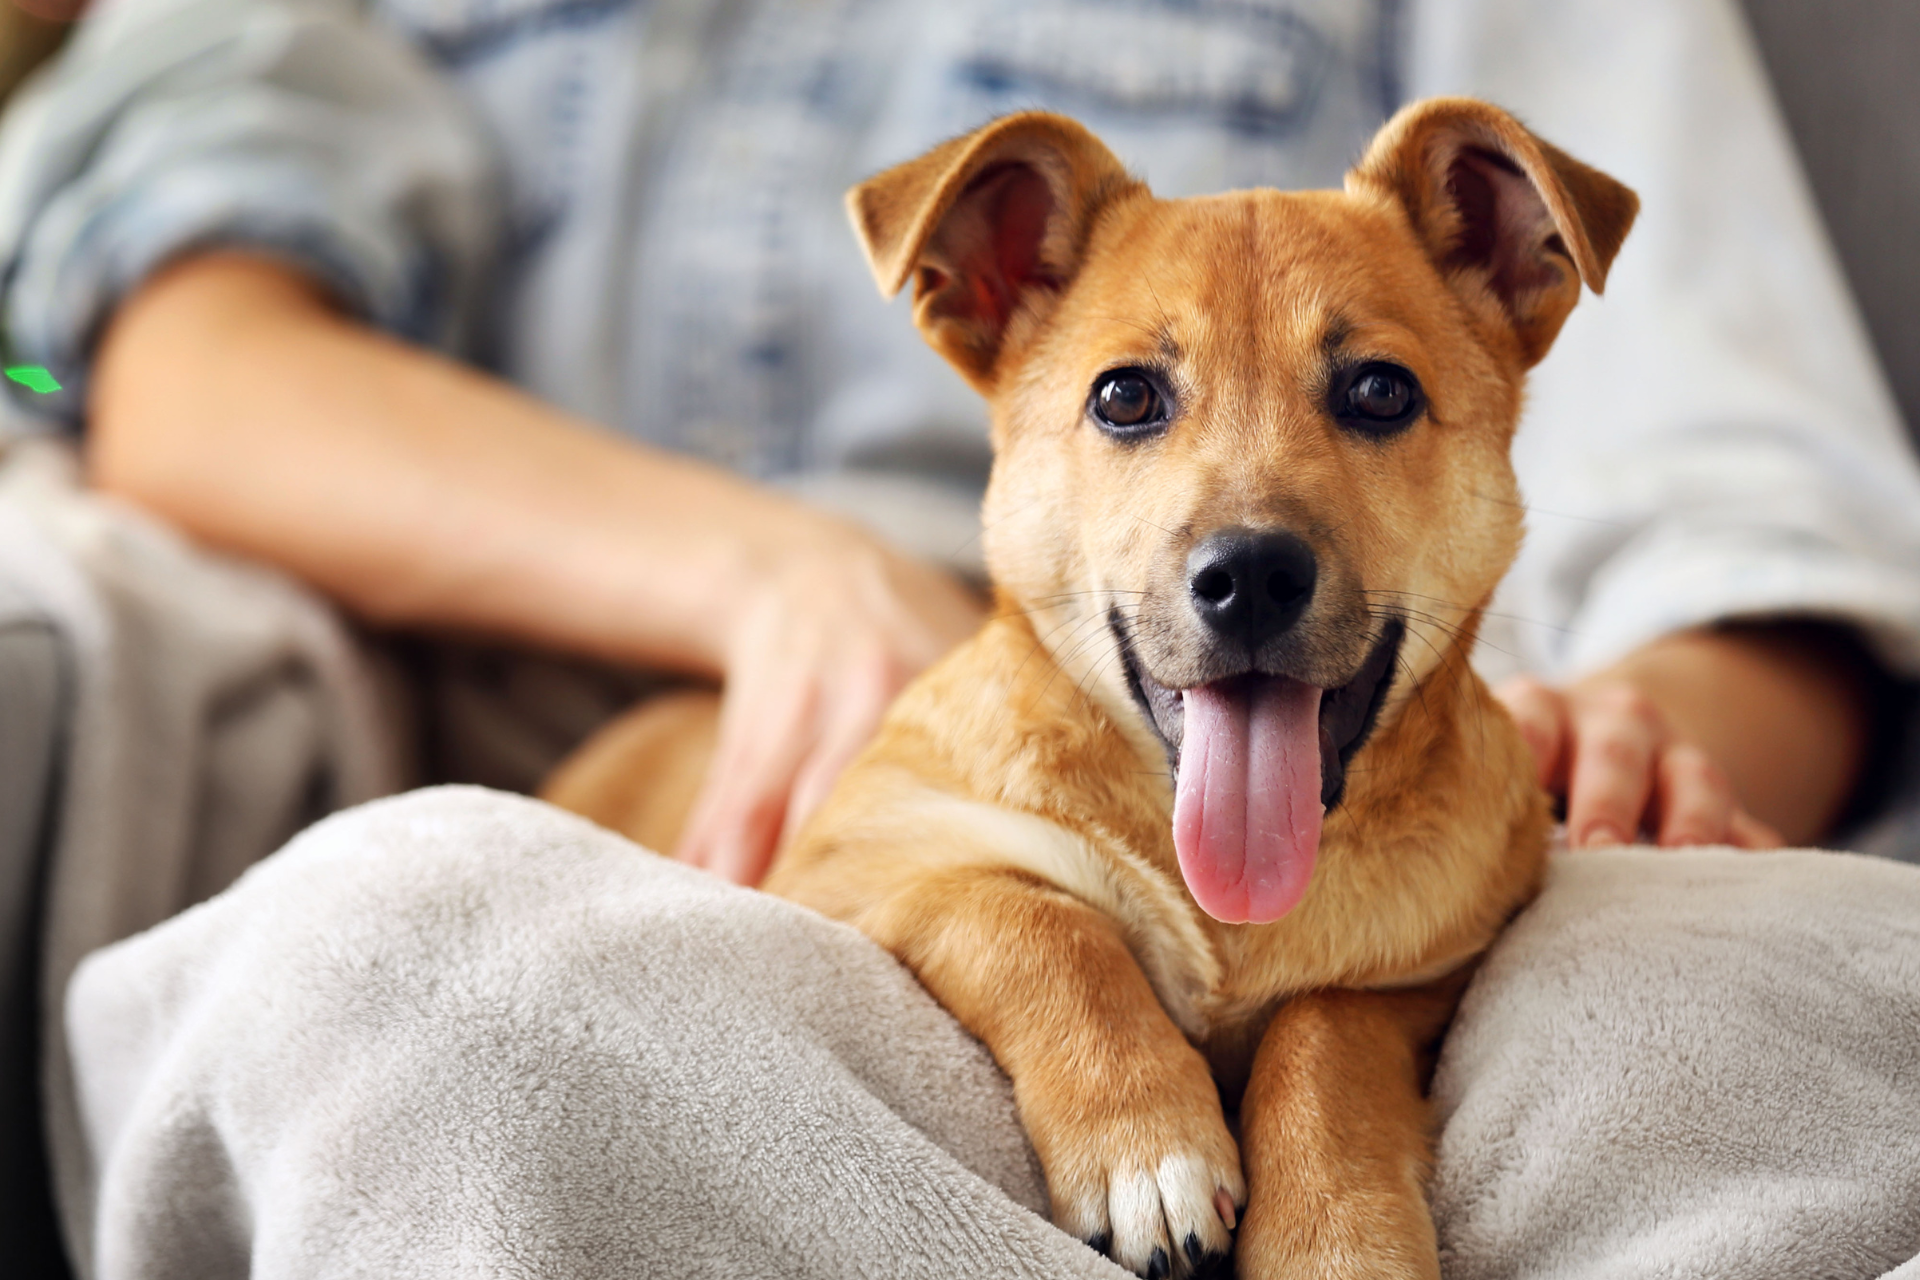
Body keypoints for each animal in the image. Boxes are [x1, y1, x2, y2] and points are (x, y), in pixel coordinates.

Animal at [545, 94, 1635, 1274]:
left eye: (1381, 392)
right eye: (1125, 396)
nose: (1251, 576)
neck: (1223, 909)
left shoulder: (1428, 973)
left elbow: (1327, 1031)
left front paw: (1339, 1232)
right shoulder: (850, 870)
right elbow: (1041, 923)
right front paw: (1145, 1148)